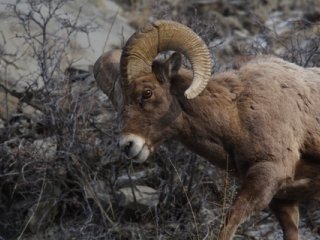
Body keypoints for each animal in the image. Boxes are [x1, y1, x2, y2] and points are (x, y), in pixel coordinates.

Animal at [94, 20, 320, 240]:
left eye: (147, 92)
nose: (127, 145)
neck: (237, 113)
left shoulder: (267, 175)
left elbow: (228, 225)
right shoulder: (283, 201)